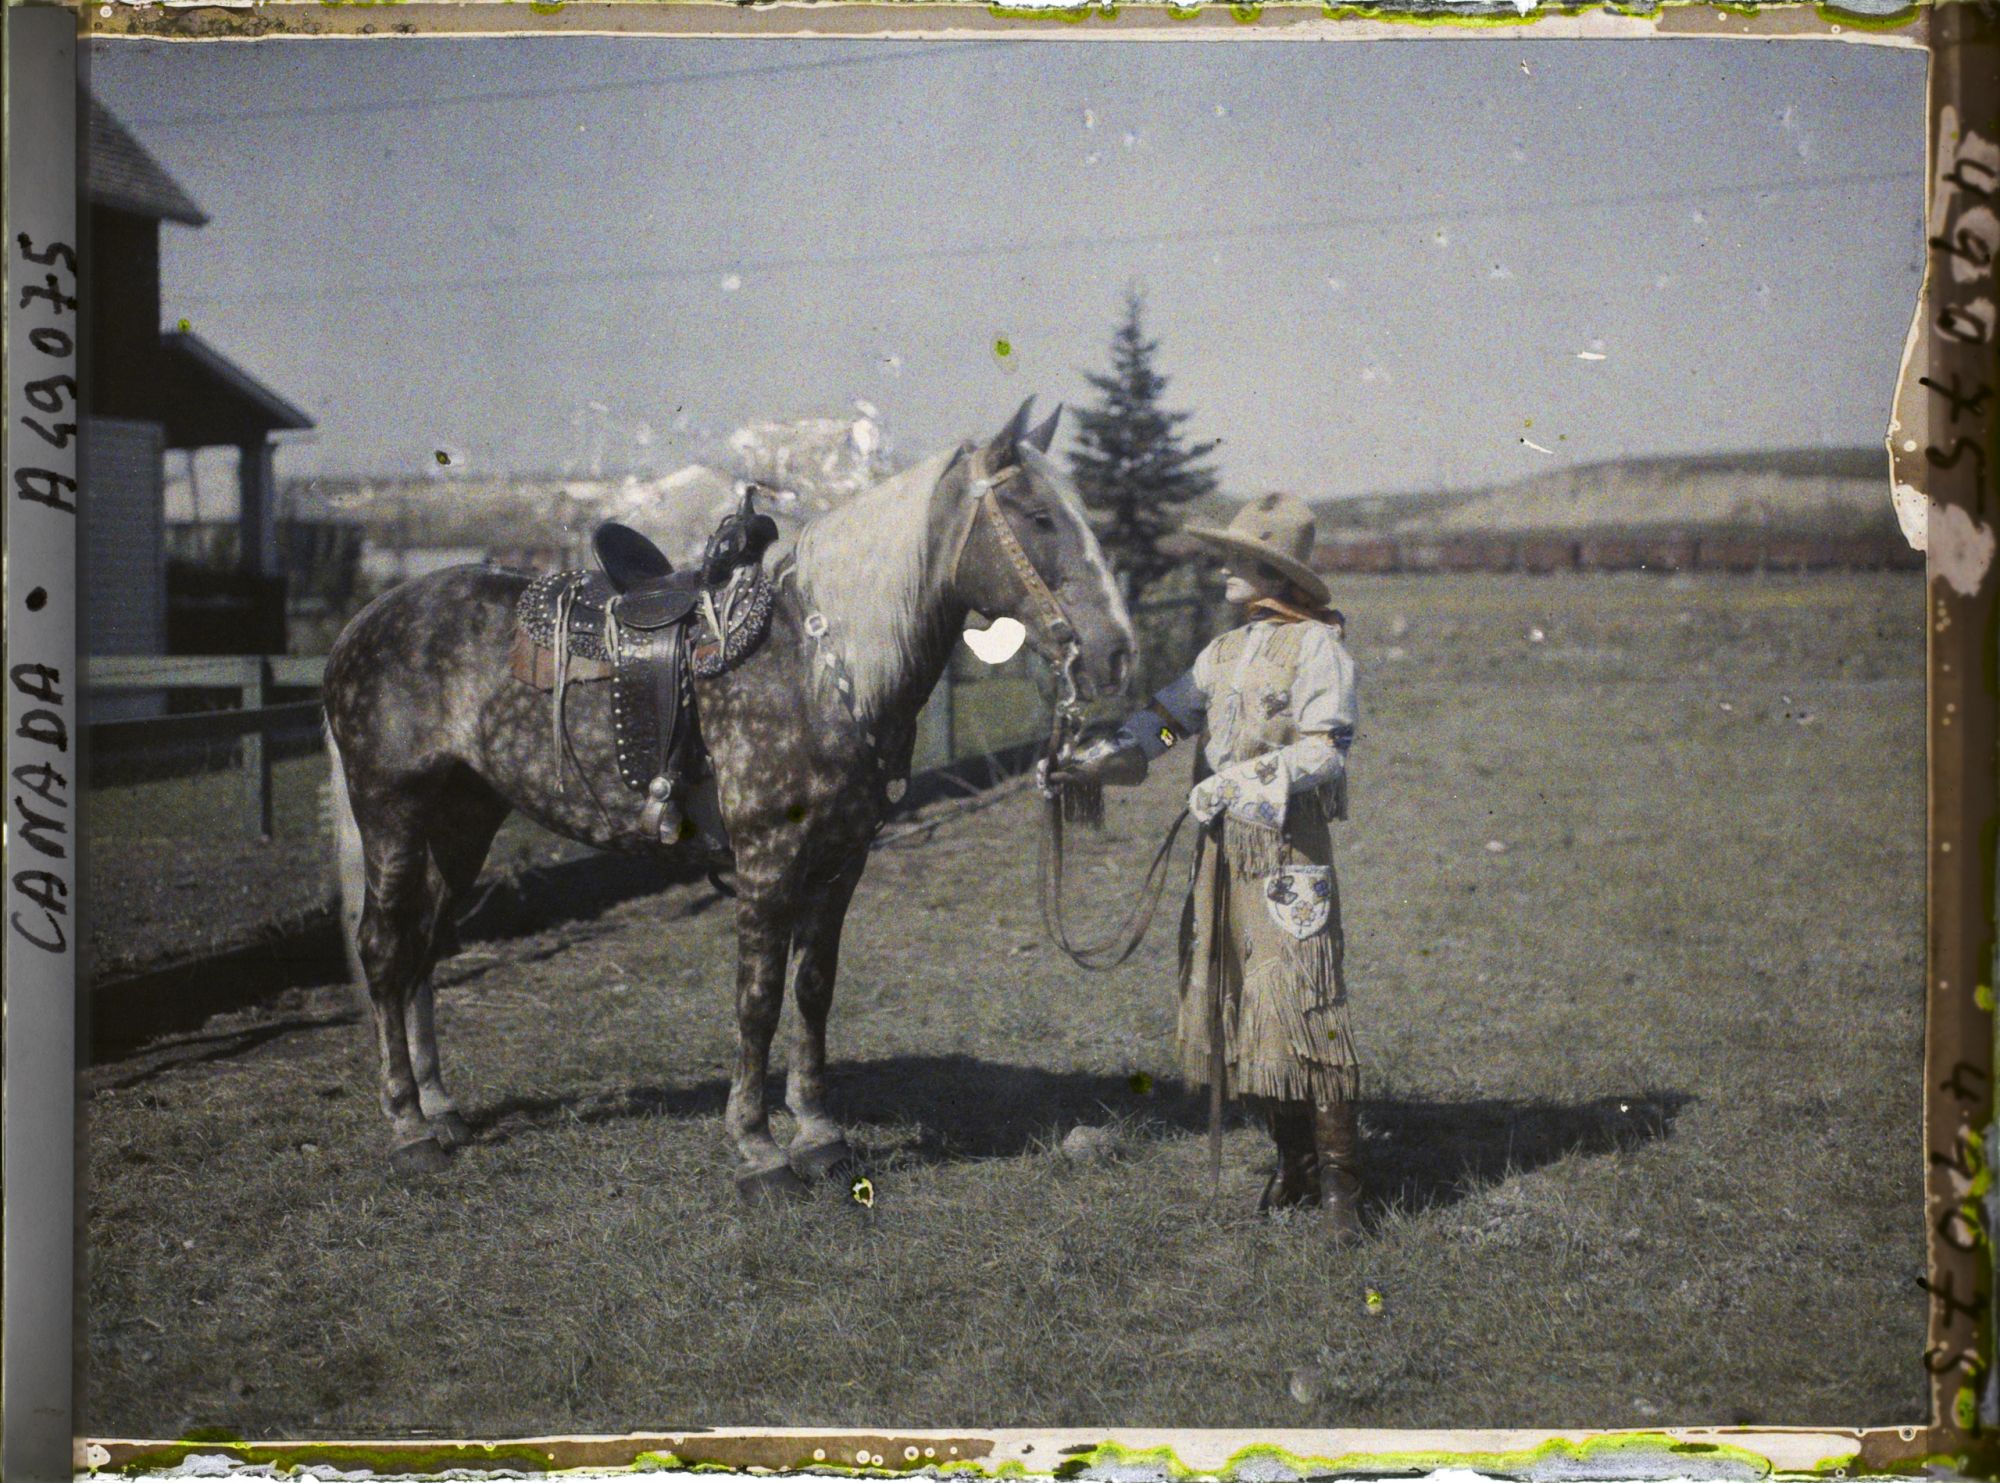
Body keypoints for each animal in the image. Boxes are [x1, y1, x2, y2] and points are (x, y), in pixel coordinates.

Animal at [322, 398, 1136, 1197]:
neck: (818, 666)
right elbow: (758, 997)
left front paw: (818, 1134)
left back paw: (442, 1109)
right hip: (392, 815)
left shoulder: (840, 862)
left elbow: (813, 989)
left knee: (425, 947)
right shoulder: (768, 860)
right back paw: (409, 1127)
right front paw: (757, 1148)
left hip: (464, 822)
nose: (1116, 653)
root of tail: (366, 622)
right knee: (385, 949)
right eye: (1039, 517)